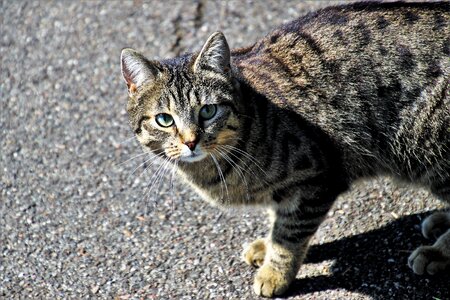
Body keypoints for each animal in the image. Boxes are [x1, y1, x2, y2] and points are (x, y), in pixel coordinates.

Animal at [120, 1, 450, 298]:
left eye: (208, 111)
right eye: (164, 119)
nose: (190, 141)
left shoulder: (316, 179)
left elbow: (289, 234)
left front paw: (274, 273)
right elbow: (277, 219)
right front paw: (266, 246)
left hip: (428, 152)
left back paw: (438, 252)